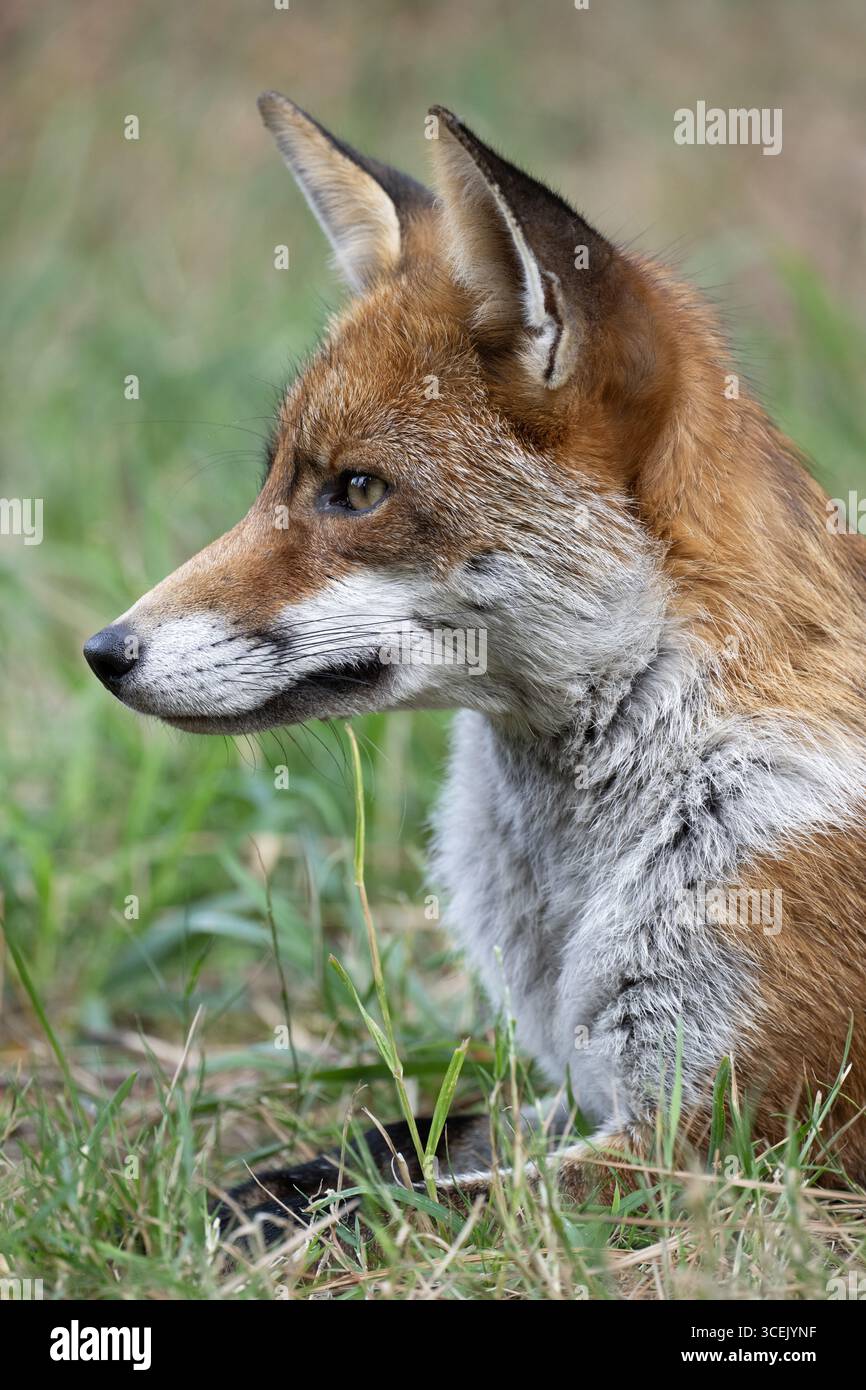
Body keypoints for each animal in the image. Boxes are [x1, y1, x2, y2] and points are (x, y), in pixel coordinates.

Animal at [84, 95, 866, 1231]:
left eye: (357, 491)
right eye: (274, 480)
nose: (104, 652)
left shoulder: (726, 1145)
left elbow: (395, 1211)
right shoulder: (580, 1088)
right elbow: (375, 1151)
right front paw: (230, 1198)